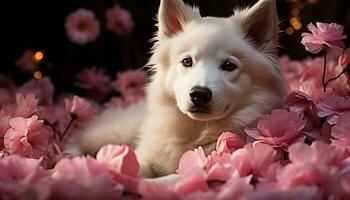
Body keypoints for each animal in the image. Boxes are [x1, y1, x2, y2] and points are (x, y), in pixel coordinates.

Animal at [78, 0, 286, 177]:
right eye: (187, 61)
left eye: (229, 65)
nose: (199, 94)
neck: (195, 131)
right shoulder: (147, 155)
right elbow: (139, 164)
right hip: (113, 132)